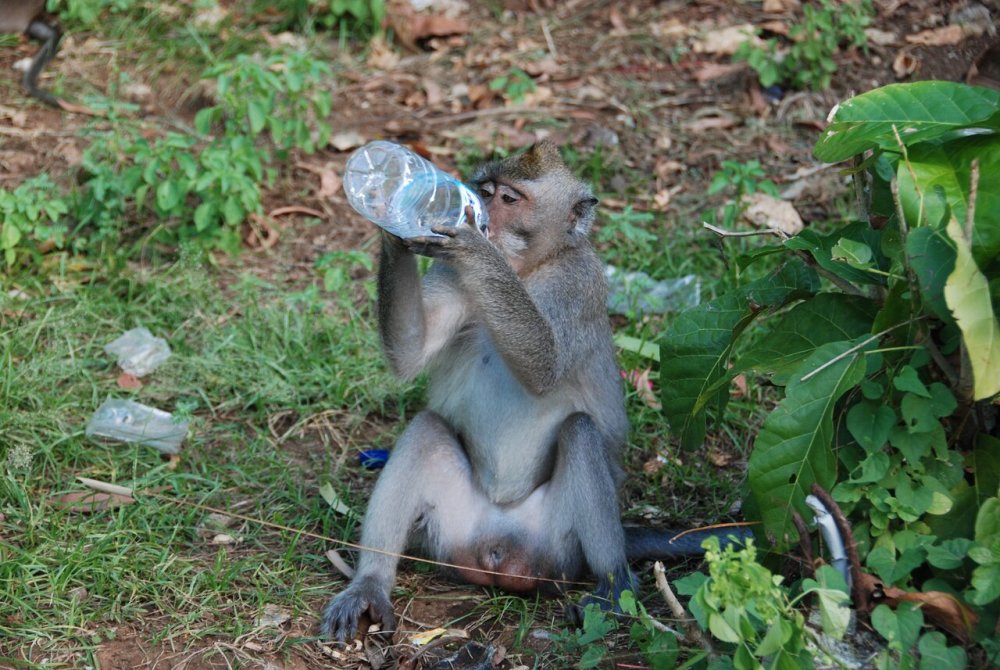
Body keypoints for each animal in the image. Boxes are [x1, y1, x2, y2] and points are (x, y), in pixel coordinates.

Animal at [322, 139, 752, 644]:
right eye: (487, 190)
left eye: (510, 199)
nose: (482, 207)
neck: (525, 271)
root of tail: (497, 548)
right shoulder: (450, 277)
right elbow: (410, 356)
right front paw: (392, 221)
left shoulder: (578, 280)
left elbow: (545, 367)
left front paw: (468, 241)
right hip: (451, 530)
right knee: (427, 429)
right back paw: (370, 583)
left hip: (559, 547)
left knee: (580, 432)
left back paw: (614, 587)